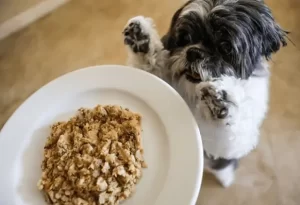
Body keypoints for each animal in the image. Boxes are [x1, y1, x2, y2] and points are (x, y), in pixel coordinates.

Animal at [121, 0, 286, 187]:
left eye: (225, 47)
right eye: (185, 38)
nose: (194, 52)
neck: (192, 93)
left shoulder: (228, 141)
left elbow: (229, 135)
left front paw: (222, 100)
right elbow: (149, 66)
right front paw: (141, 39)